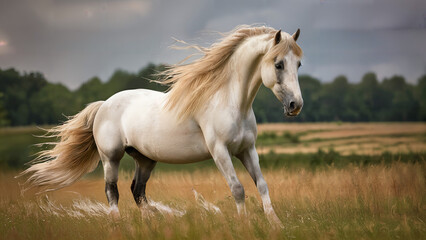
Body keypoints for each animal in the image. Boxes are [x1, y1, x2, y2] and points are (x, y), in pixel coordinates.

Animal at [21, 26, 302, 227]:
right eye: (278, 64)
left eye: (298, 64)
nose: (295, 105)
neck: (230, 101)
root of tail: (103, 105)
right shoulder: (220, 151)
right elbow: (238, 189)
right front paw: (245, 225)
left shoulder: (247, 150)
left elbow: (262, 184)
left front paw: (276, 225)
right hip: (110, 157)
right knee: (113, 191)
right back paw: (121, 225)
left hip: (145, 159)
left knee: (138, 191)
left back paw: (155, 220)